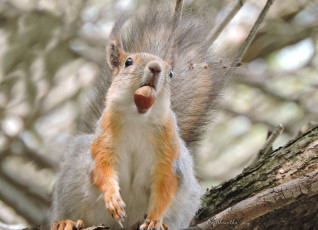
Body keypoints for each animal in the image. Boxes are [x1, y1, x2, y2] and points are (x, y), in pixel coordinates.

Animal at [50, 3, 226, 230]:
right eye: (128, 62)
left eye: (171, 73)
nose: (156, 68)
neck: (138, 119)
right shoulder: (105, 140)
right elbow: (103, 169)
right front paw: (113, 199)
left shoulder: (169, 154)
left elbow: (165, 186)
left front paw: (155, 220)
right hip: (70, 186)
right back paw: (67, 221)